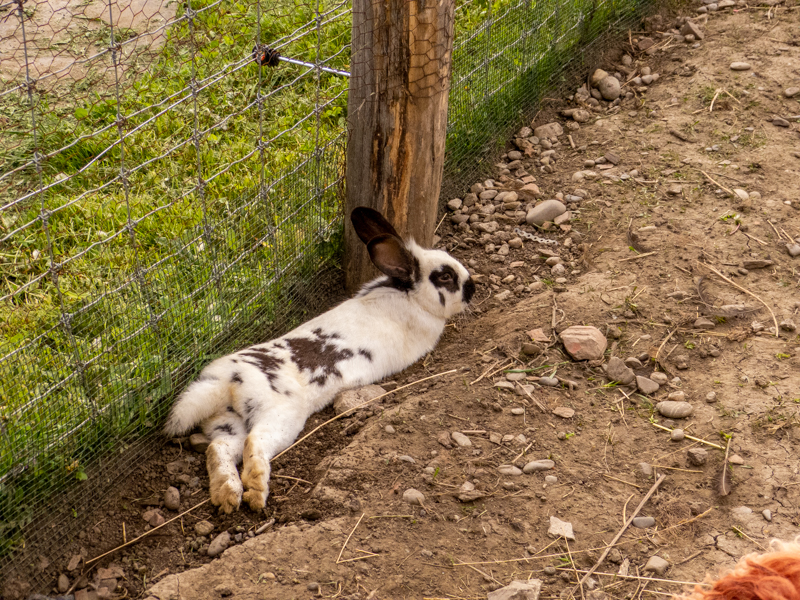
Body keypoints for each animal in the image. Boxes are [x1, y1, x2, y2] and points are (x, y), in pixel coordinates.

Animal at [164, 207, 476, 512]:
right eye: (445, 277)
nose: (472, 288)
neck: (409, 295)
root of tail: (225, 383)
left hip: (228, 423)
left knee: (218, 449)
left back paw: (227, 495)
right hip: (279, 414)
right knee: (255, 443)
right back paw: (255, 492)